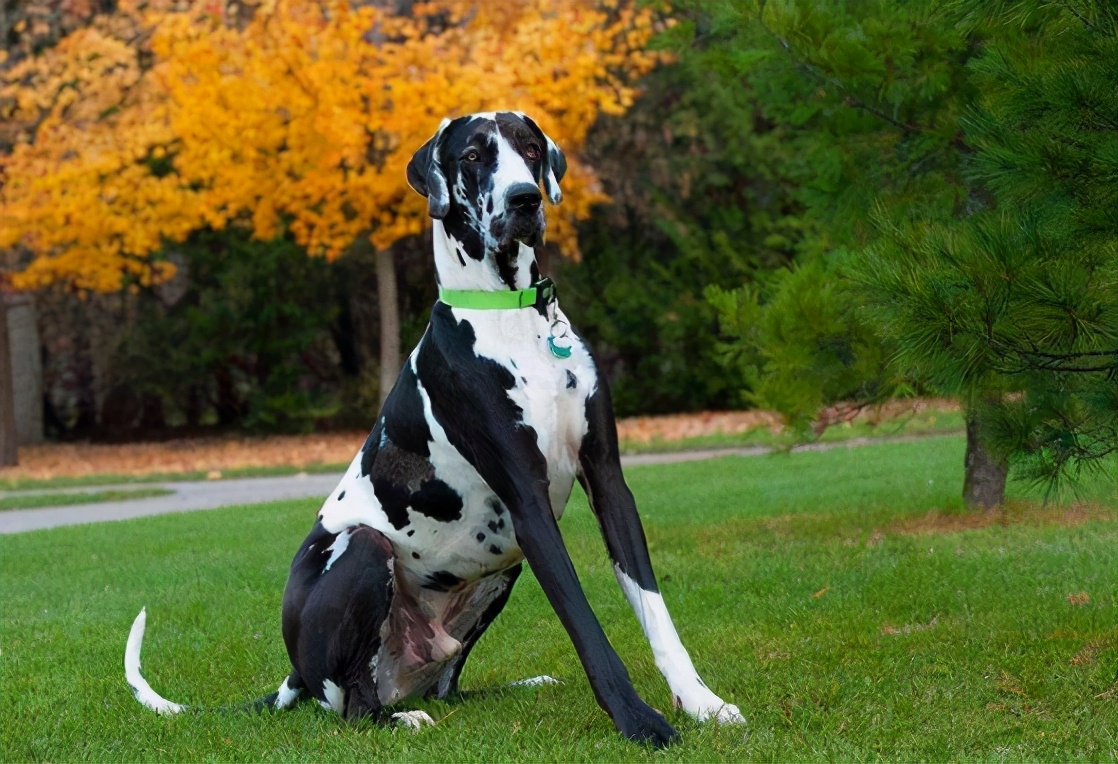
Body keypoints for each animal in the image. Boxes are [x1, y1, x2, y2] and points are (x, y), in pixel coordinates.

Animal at [124, 111, 742, 747]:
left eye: (529, 148)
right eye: (471, 155)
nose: (525, 198)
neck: (512, 314)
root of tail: (296, 672)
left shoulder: (610, 485)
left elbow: (655, 611)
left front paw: (701, 702)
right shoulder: (530, 507)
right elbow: (587, 627)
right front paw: (639, 720)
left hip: (503, 568)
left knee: (447, 688)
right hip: (365, 551)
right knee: (353, 707)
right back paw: (395, 718)